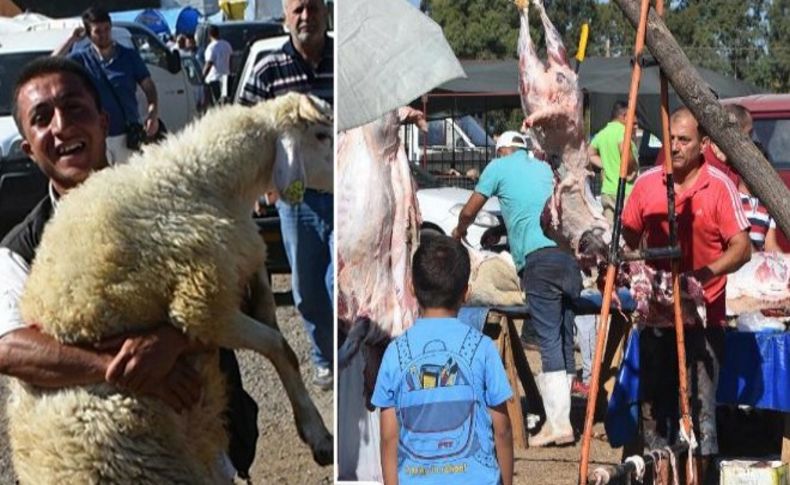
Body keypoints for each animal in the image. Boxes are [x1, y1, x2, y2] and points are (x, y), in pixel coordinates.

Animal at [10, 91, 338, 480]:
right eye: (320, 135)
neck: (200, 178)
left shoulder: (241, 267)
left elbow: (269, 315)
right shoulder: (201, 305)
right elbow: (280, 347)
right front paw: (317, 433)